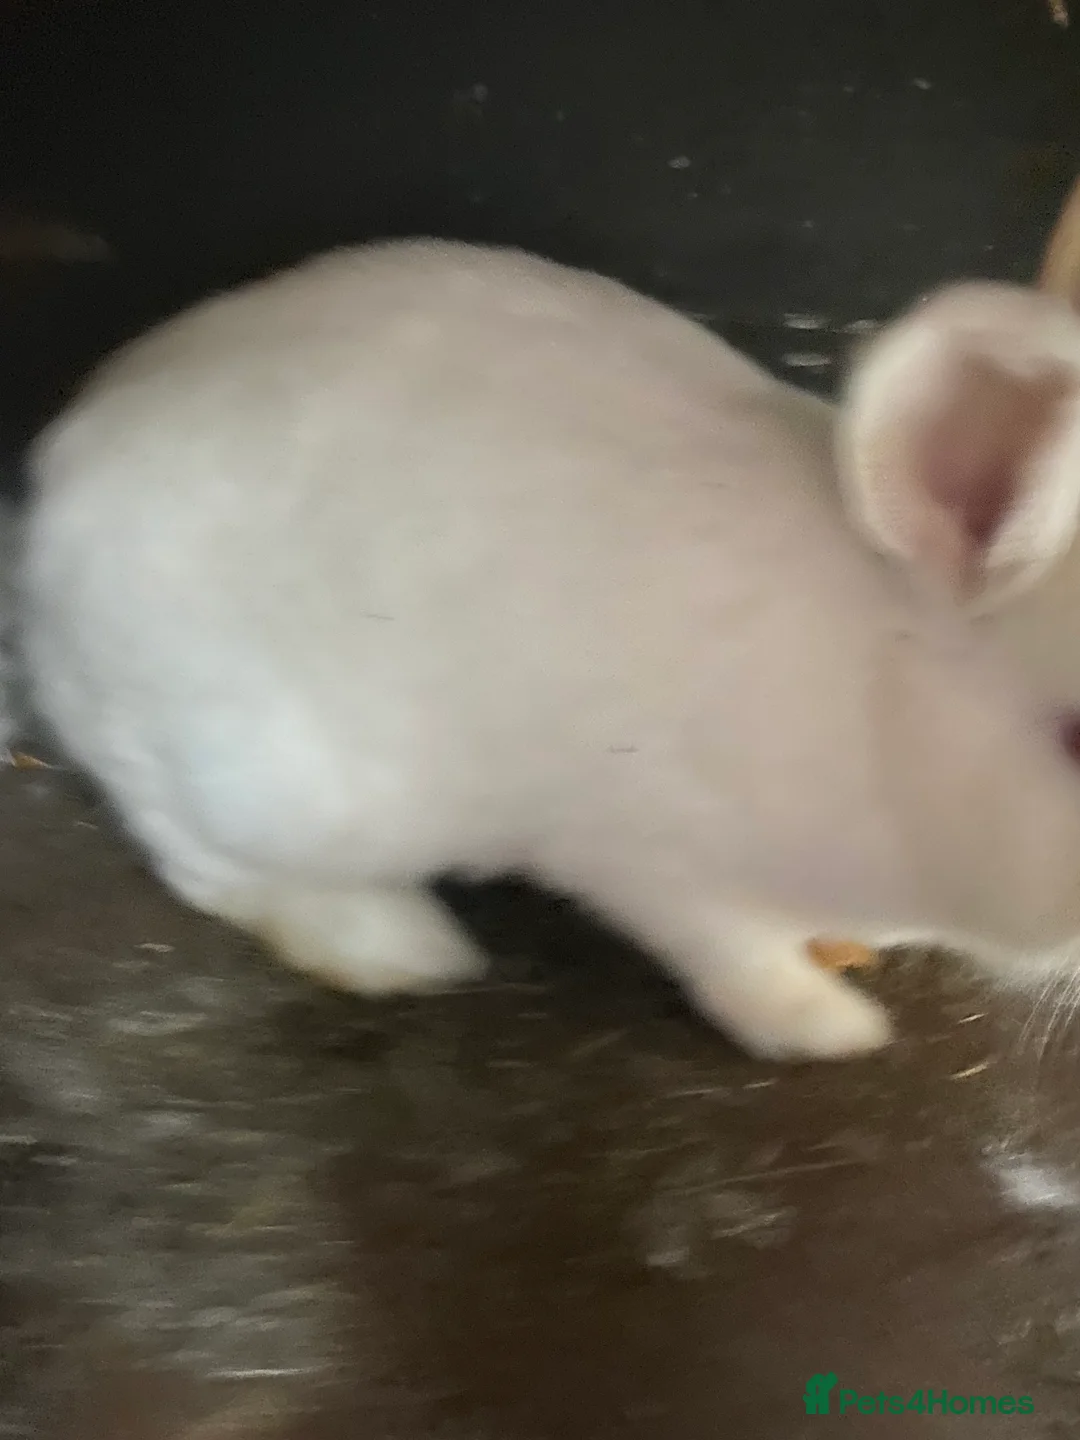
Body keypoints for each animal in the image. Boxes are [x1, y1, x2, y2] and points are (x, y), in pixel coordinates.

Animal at [19, 237, 1080, 1063]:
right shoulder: (658, 858)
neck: (881, 700)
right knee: (201, 860)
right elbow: (734, 957)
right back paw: (395, 949)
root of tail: (50, 496)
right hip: (264, 781)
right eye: (1072, 738)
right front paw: (827, 1026)